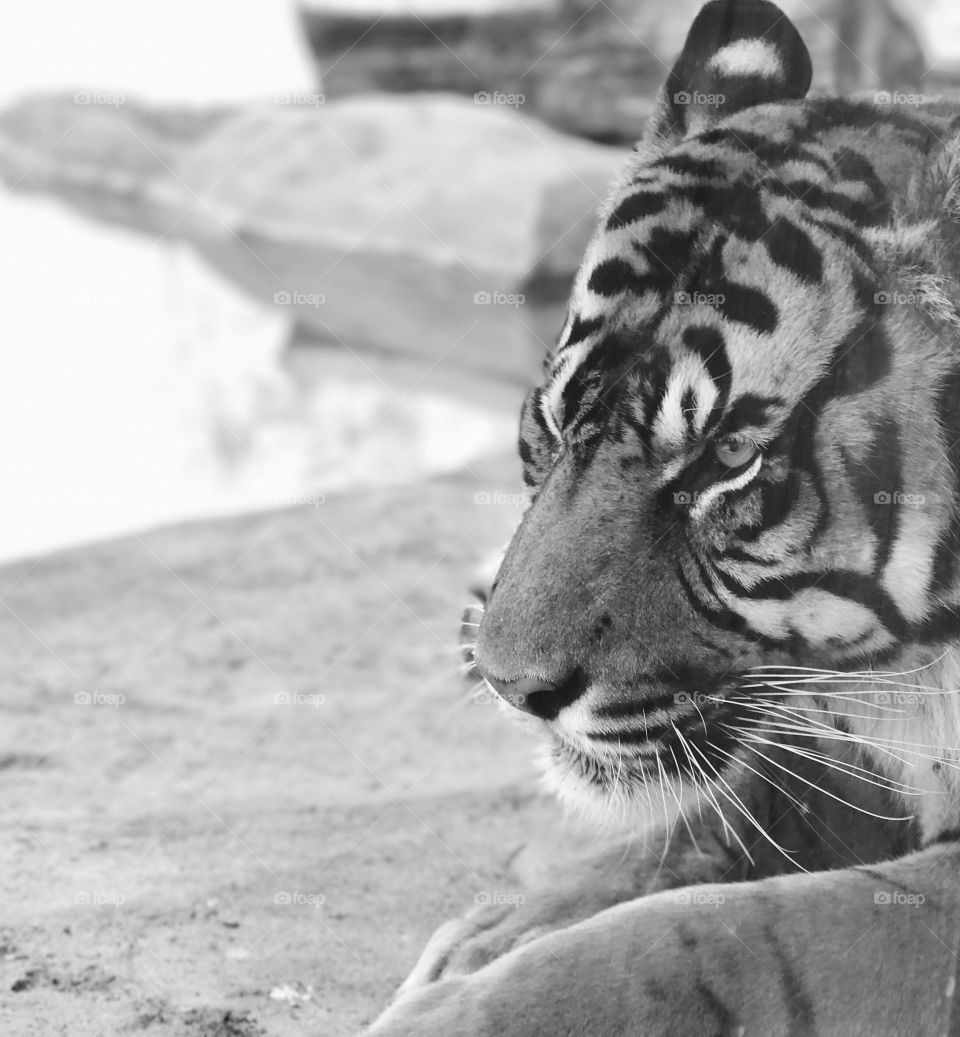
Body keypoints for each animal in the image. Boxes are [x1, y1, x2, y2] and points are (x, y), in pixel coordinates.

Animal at [364, 1, 960, 1034]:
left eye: (728, 458)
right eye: (552, 420)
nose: (512, 687)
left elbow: (727, 932)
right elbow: (706, 830)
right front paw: (490, 934)